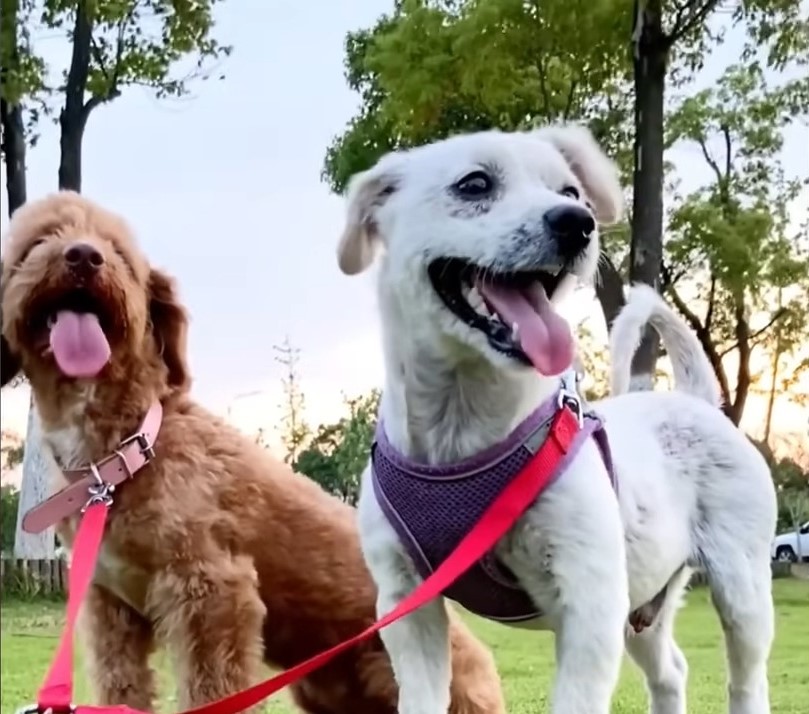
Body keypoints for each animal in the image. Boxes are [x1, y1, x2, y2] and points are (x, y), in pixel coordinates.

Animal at [1, 192, 504, 712]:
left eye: (119, 252)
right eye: (37, 242)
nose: (84, 255)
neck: (127, 450)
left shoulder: (214, 592)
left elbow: (213, 690)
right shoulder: (110, 610)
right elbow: (121, 686)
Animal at [336, 125, 776, 712]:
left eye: (571, 191)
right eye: (474, 183)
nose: (578, 222)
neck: (463, 435)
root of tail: (698, 401)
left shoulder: (589, 602)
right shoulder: (406, 603)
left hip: (740, 582)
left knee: (746, 680)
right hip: (643, 602)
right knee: (672, 672)